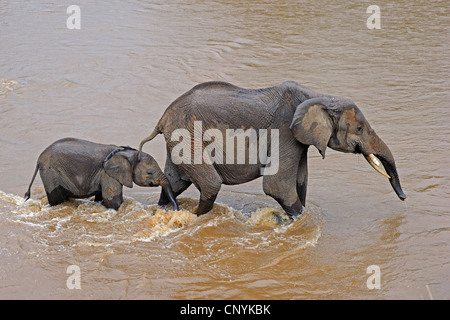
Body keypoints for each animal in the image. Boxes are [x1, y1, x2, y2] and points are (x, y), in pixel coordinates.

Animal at [23, 137, 178, 210]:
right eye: (149, 172)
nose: (171, 209)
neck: (128, 154)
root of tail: (39, 160)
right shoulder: (107, 173)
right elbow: (113, 202)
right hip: (51, 173)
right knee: (56, 199)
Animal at [139, 81, 406, 219]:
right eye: (359, 128)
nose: (404, 198)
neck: (319, 96)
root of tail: (162, 119)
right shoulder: (284, 130)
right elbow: (277, 185)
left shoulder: (298, 139)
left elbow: (300, 182)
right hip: (187, 135)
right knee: (210, 184)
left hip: (180, 139)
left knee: (175, 181)